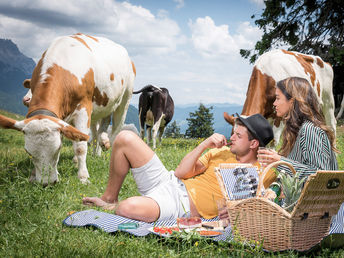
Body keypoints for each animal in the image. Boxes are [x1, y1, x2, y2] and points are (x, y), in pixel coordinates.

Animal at [0, 33, 136, 185]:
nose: (47, 183)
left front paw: (83, 177)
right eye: (28, 152)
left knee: (116, 128)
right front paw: (33, 176)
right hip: (103, 105)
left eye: (57, 148)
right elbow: (75, 139)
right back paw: (97, 149)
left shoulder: (83, 108)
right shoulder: (61, 117)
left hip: (125, 99)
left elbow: (81, 146)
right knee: (100, 128)